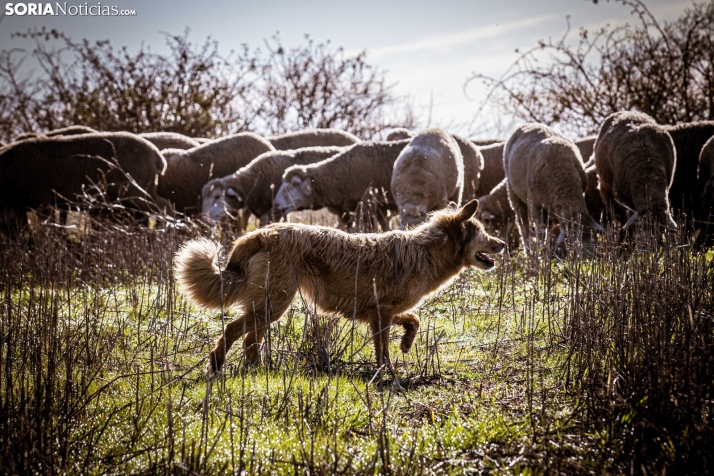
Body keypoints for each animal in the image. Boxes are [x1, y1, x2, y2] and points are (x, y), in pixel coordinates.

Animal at [175, 199, 504, 378]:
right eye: (482, 233)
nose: (502, 244)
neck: (425, 252)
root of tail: (259, 233)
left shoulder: (378, 312)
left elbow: (413, 320)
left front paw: (406, 344)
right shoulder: (381, 313)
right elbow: (384, 352)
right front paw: (389, 374)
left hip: (268, 306)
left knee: (249, 341)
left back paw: (257, 371)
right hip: (274, 304)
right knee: (232, 331)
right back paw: (217, 366)